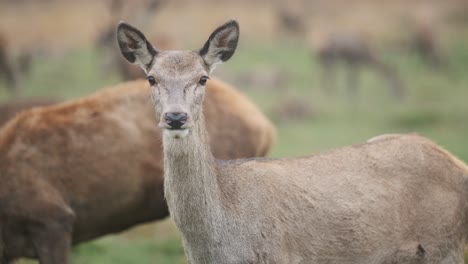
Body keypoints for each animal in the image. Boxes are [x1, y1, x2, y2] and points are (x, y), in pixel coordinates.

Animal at [118, 19, 468, 264]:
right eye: (151, 78)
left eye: (203, 78)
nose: (176, 117)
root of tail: (458, 164)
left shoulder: (278, 255)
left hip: (445, 247)